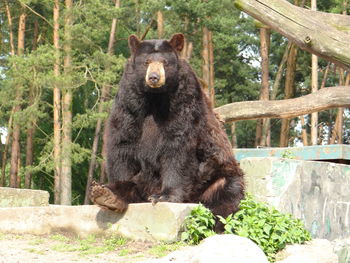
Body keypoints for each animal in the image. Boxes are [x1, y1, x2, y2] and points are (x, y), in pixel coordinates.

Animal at [89, 32, 245, 223]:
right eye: (146, 61)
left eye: (164, 61)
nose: (154, 77)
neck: (155, 98)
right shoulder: (129, 105)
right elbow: (122, 144)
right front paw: (114, 190)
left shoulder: (184, 102)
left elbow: (178, 148)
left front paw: (165, 196)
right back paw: (106, 194)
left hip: (219, 173)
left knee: (226, 196)